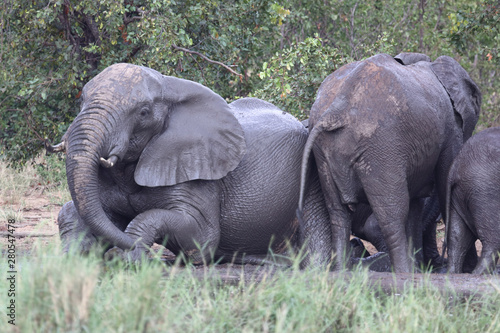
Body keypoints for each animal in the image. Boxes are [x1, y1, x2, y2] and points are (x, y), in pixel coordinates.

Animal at [296, 51, 480, 270]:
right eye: (477, 100)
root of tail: (336, 110)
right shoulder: (451, 129)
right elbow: (444, 186)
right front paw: (468, 268)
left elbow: (417, 204)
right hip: (381, 148)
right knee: (392, 215)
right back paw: (403, 272)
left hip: (324, 153)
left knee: (338, 215)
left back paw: (342, 271)